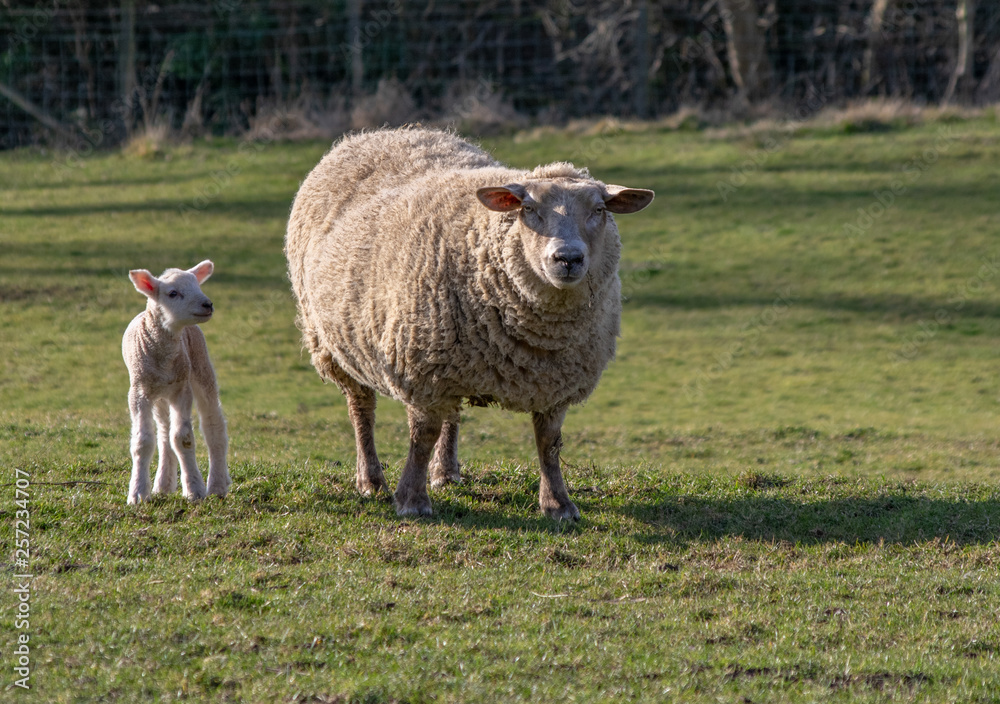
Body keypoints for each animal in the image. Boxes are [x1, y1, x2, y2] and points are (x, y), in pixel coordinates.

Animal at [122, 260, 230, 504]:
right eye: (173, 293)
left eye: (197, 286)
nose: (207, 304)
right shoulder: (139, 391)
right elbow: (143, 442)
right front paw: (138, 493)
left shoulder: (182, 389)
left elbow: (183, 438)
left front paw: (194, 490)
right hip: (160, 395)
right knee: (164, 432)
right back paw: (163, 484)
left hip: (200, 366)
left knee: (213, 425)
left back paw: (218, 485)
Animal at [285, 128, 653, 519]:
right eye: (528, 209)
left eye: (599, 209)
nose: (567, 258)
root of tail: (382, 133)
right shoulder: (422, 370)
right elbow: (421, 437)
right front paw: (412, 500)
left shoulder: (555, 382)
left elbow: (549, 443)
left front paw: (558, 504)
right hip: (334, 342)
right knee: (361, 410)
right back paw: (371, 480)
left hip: (453, 355)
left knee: (452, 414)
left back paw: (445, 473)